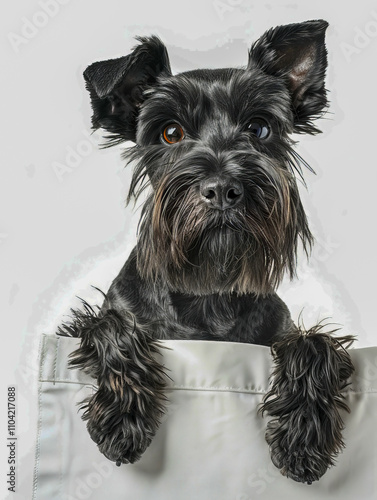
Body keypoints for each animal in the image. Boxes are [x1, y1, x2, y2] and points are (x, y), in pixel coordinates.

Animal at [59, 20, 356, 484]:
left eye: (259, 129)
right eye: (171, 133)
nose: (222, 190)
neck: (209, 291)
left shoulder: (282, 332)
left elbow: (316, 344)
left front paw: (303, 437)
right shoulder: (98, 318)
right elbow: (110, 326)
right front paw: (123, 419)